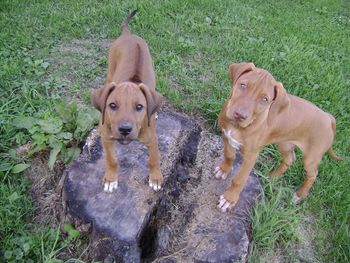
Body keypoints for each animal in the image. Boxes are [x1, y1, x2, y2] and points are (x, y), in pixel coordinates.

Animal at [91, 10, 163, 193]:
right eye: (112, 105)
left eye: (139, 107)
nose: (124, 129)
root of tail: (128, 35)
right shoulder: (106, 137)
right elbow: (111, 160)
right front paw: (111, 179)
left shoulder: (152, 139)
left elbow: (154, 159)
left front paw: (156, 178)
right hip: (110, 71)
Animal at [215, 63, 340, 213]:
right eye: (243, 85)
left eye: (265, 99)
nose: (239, 115)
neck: (237, 127)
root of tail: (328, 117)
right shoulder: (226, 136)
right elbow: (229, 155)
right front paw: (224, 169)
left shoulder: (251, 156)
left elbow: (240, 179)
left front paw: (229, 199)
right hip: (285, 143)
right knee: (290, 159)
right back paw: (272, 177)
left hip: (311, 157)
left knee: (313, 174)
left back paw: (299, 195)